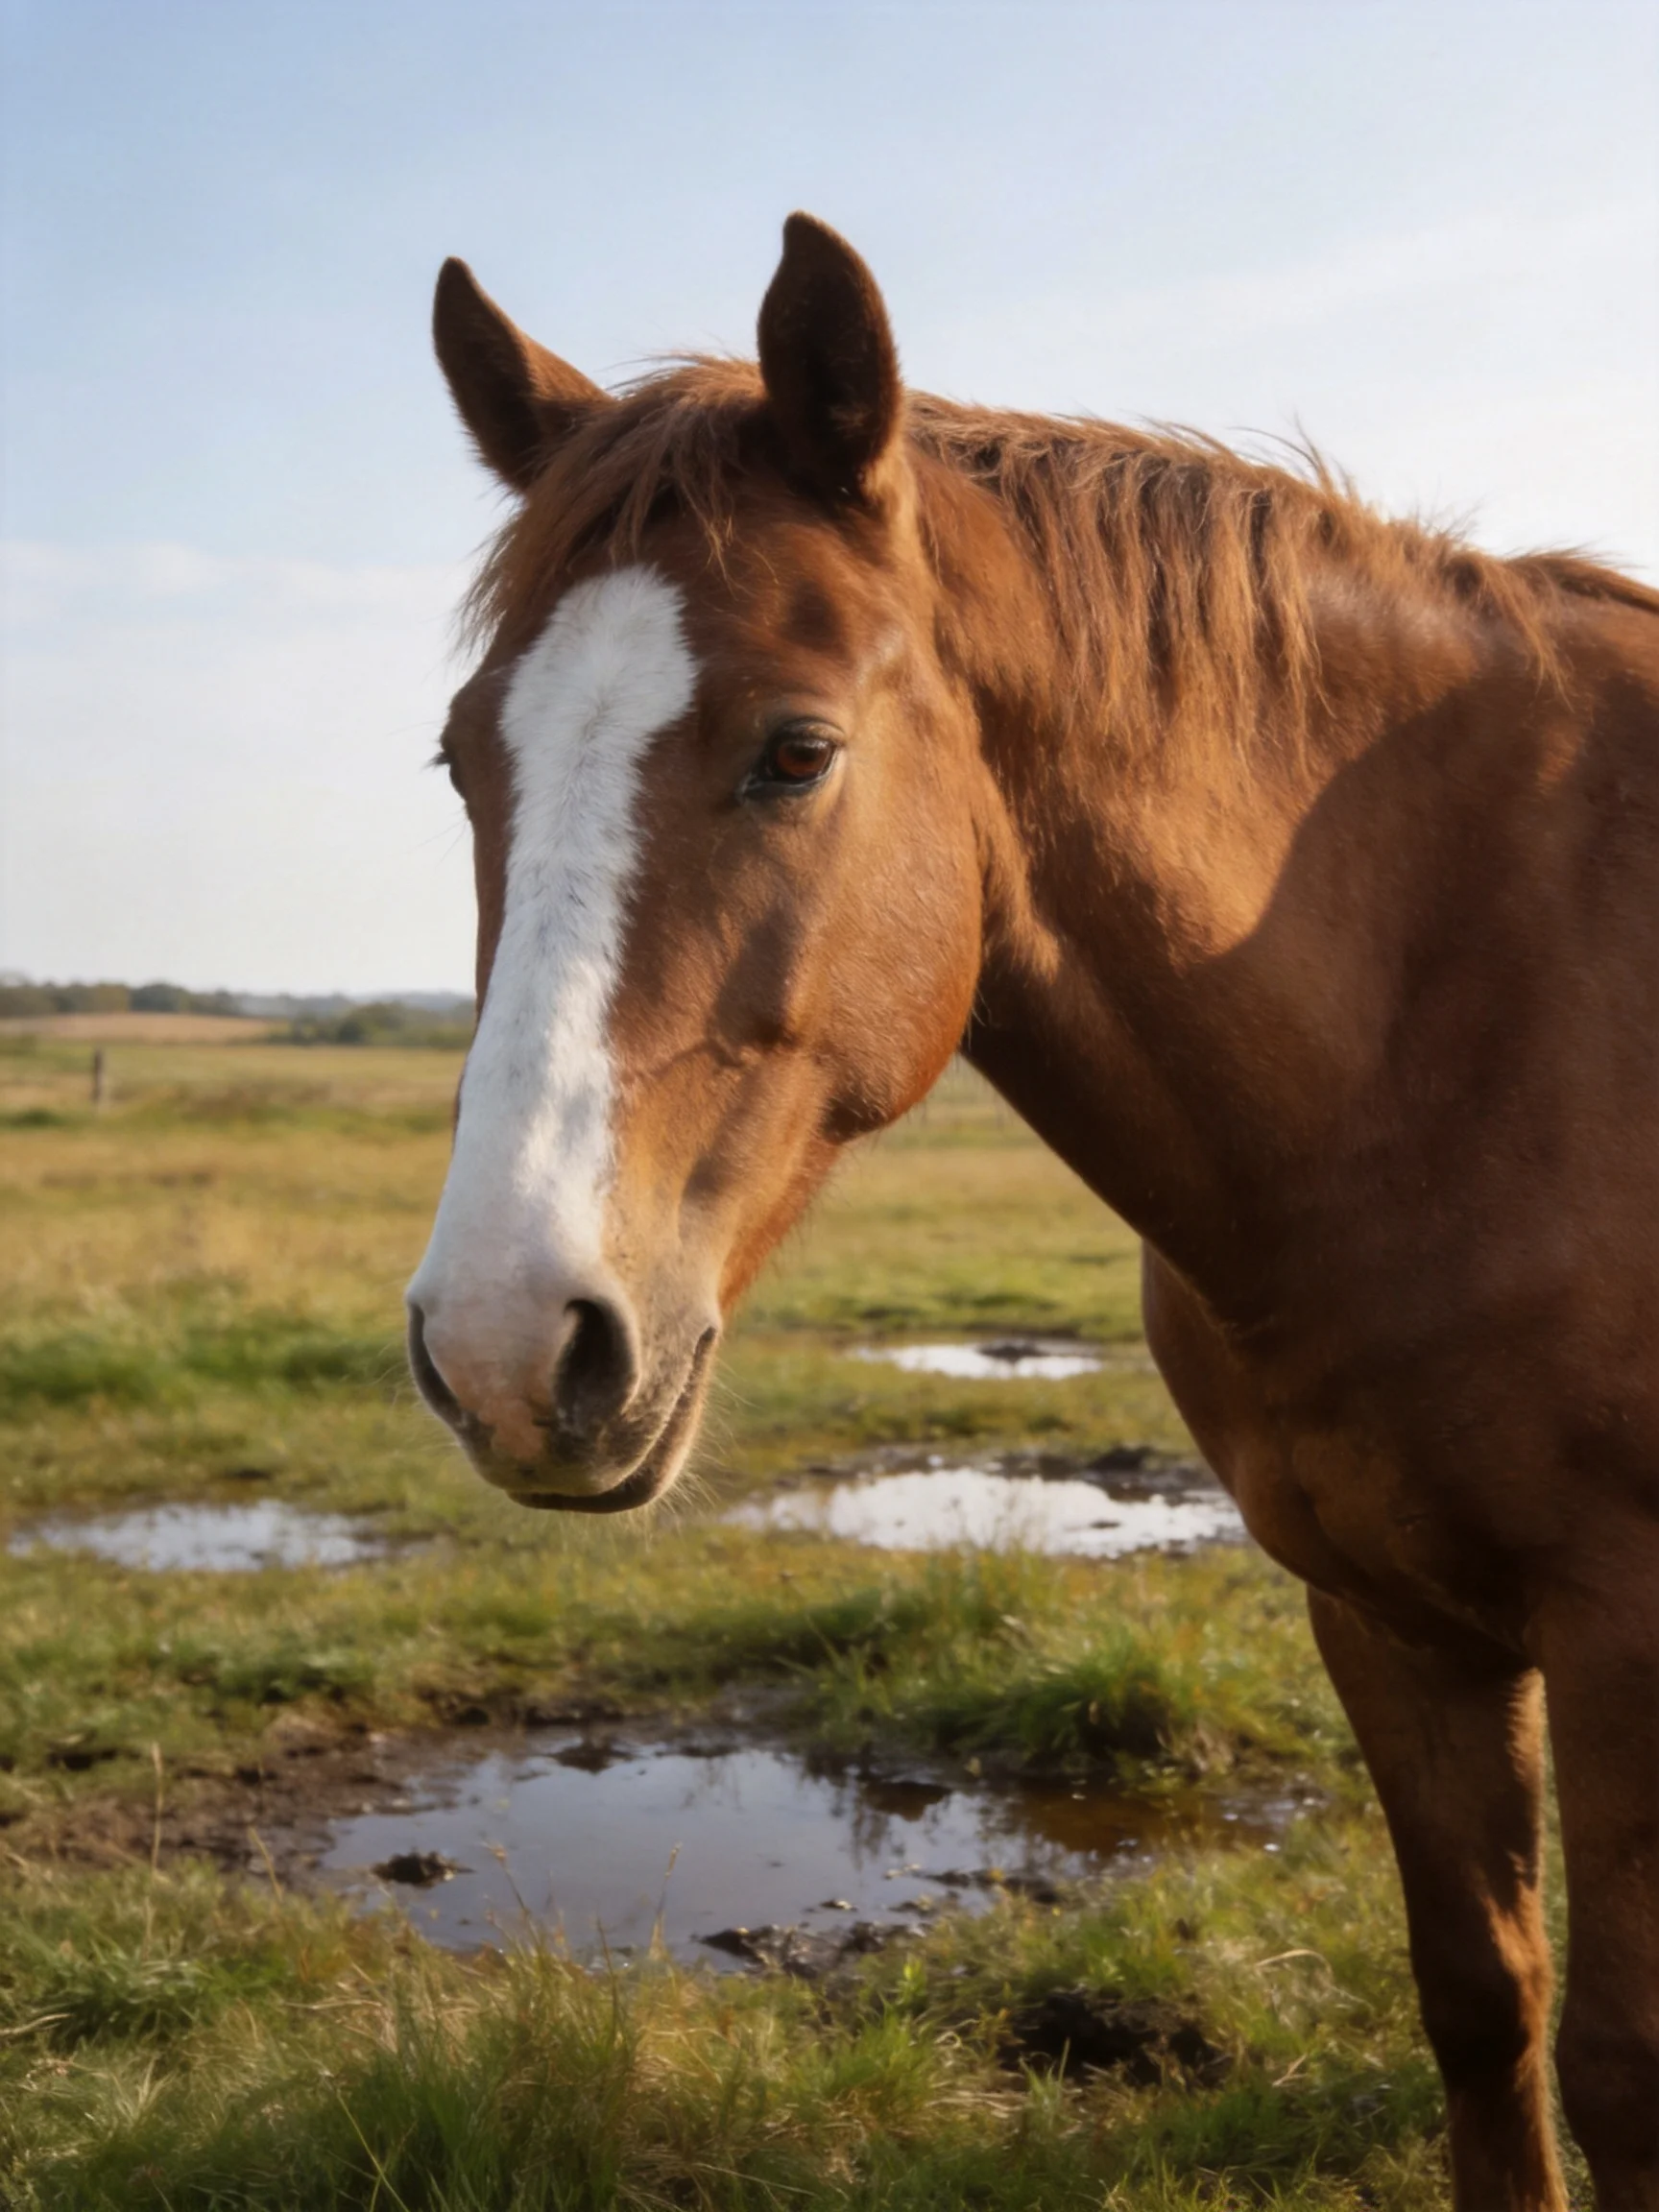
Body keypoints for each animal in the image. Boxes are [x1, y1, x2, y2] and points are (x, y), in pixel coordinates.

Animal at [405, 214, 1659, 2210]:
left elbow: (1618, 2063)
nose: (509, 1347)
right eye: (465, 756)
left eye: (797, 750)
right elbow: (1484, 2001)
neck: (1463, 1006)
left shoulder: (1620, 1624)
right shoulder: (1384, 1613)